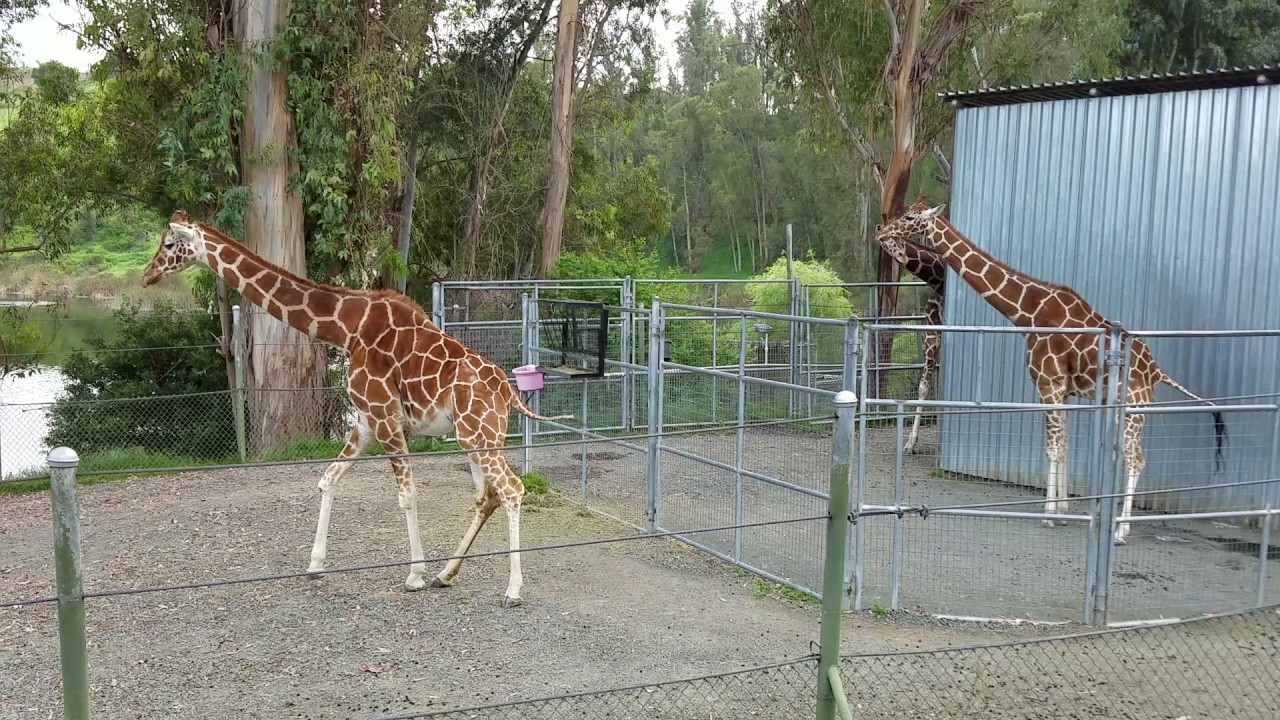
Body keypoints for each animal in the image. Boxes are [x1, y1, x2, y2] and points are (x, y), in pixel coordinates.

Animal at [141, 211, 572, 605]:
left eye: (168, 244)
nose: (147, 275)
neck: (346, 328)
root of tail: (507, 391)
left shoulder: (384, 416)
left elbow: (407, 494)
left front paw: (414, 574)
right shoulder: (364, 421)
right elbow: (328, 479)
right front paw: (315, 565)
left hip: (477, 433)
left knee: (512, 490)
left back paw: (511, 589)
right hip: (479, 436)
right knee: (489, 496)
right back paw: (447, 575)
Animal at [876, 201, 1226, 544]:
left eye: (910, 217)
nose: (882, 230)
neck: (1029, 312)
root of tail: (1156, 371)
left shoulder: (1048, 383)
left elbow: (1053, 447)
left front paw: (1048, 514)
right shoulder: (1064, 390)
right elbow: (1065, 444)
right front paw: (1064, 509)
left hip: (1135, 406)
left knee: (1136, 458)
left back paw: (1121, 530)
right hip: (1123, 407)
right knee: (1124, 454)